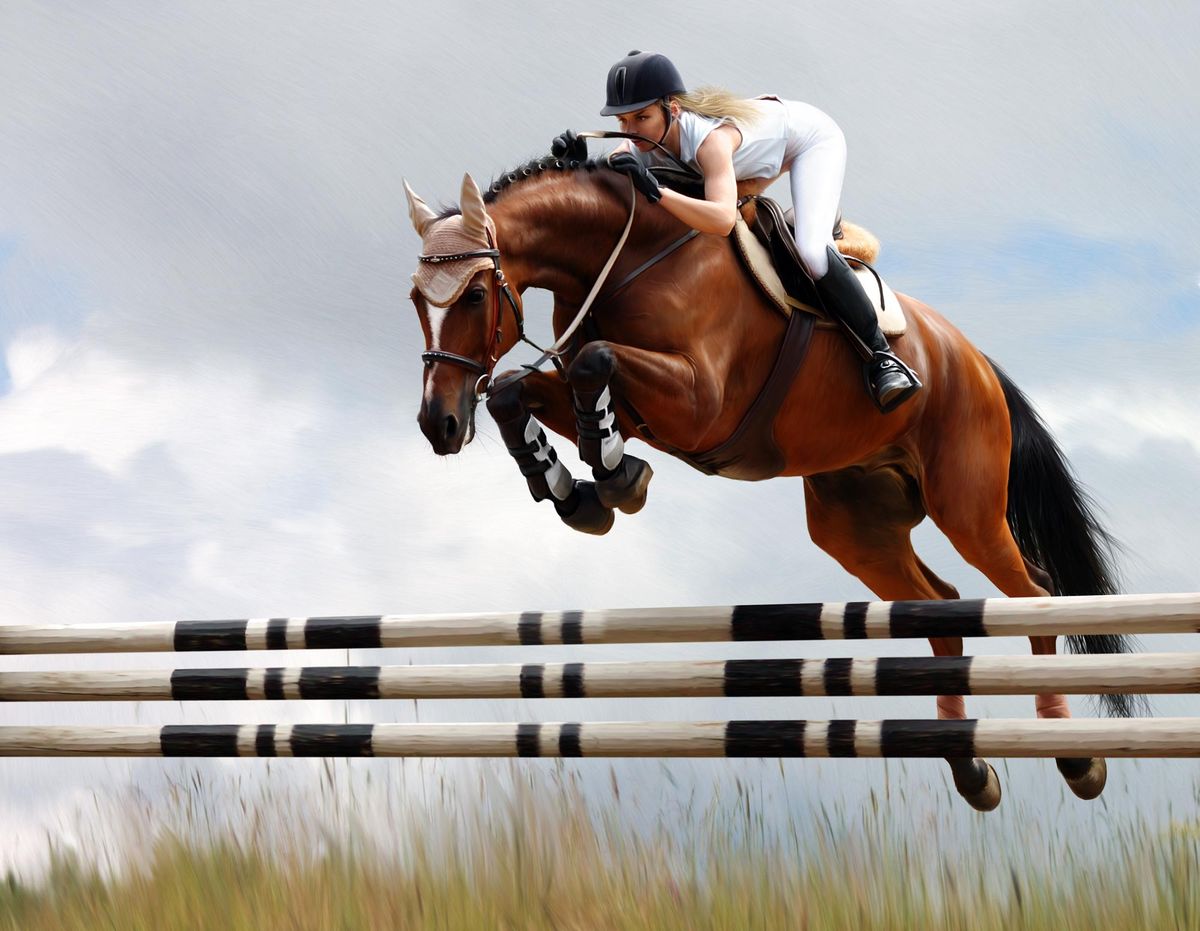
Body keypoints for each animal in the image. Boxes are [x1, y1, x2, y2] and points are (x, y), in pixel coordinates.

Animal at [404, 159, 1133, 811]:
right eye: (415, 298)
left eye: (474, 295)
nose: (439, 424)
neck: (628, 254)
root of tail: (975, 360)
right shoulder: (627, 401)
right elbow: (516, 390)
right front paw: (577, 490)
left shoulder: (699, 400)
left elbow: (593, 361)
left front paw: (612, 472)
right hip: (855, 526)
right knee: (942, 610)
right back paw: (969, 767)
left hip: (967, 505)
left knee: (1033, 593)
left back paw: (1074, 756)